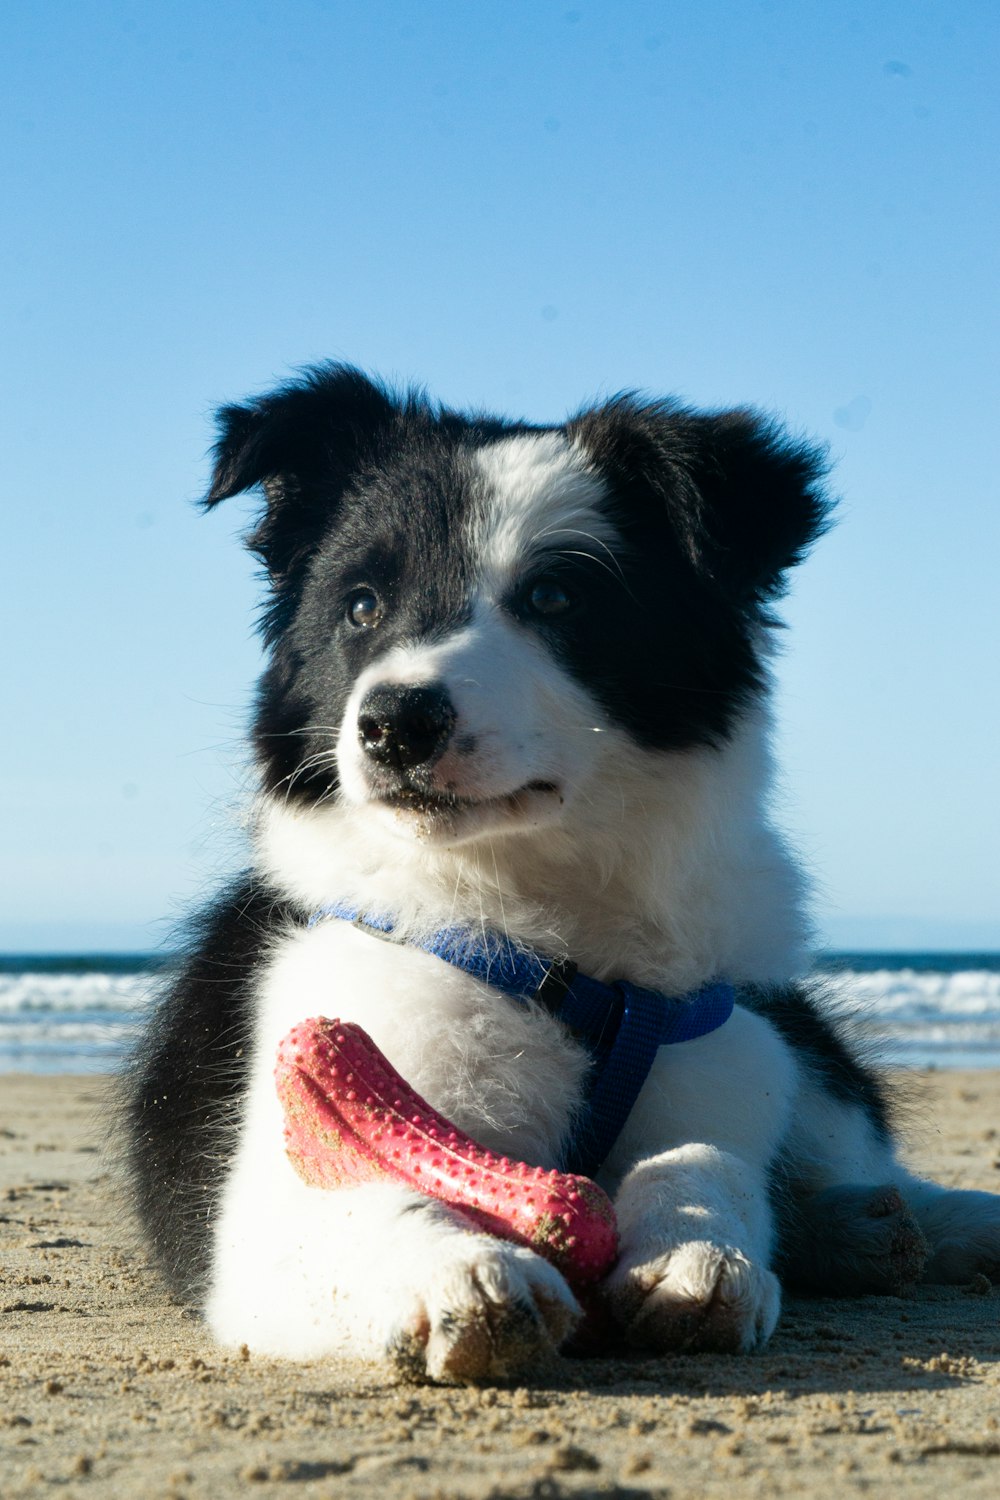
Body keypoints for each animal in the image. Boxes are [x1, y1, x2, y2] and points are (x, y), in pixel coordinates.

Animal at [122, 363, 1000, 1380]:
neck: (539, 927)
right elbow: (367, 1203)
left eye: (554, 599)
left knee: (864, 1163)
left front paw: (701, 1250)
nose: (394, 723)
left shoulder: (720, 1046)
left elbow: (705, 1157)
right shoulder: (282, 1172)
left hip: (797, 1040)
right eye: (362, 604)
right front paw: (455, 1271)